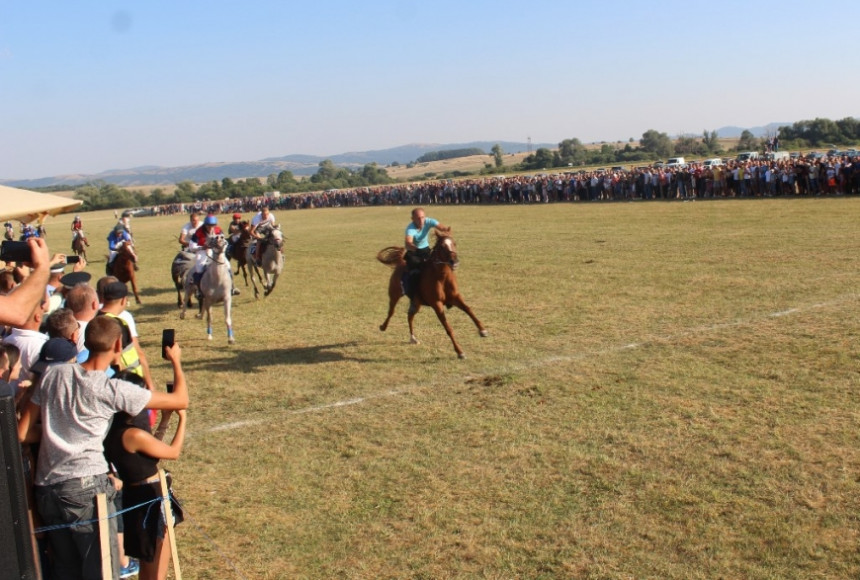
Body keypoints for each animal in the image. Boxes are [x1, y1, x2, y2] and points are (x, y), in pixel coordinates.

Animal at [374, 227, 488, 358]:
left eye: (454, 243)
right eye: (442, 246)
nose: (454, 261)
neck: (441, 277)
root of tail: (400, 262)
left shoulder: (455, 297)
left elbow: (468, 309)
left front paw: (482, 330)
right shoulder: (437, 304)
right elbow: (448, 328)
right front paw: (459, 352)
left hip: (416, 303)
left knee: (410, 316)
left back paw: (413, 338)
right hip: (394, 294)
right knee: (391, 312)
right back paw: (383, 326)